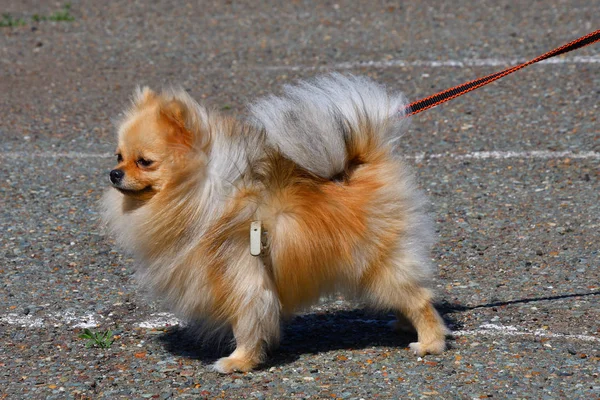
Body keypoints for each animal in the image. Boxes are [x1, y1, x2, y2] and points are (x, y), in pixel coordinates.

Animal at [103, 73, 448, 374]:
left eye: (144, 162)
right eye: (119, 156)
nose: (113, 174)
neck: (200, 191)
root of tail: (366, 164)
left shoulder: (243, 276)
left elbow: (246, 323)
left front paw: (239, 362)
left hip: (379, 263)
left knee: (419, 298)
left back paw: (429, 342)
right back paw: (403, 324)